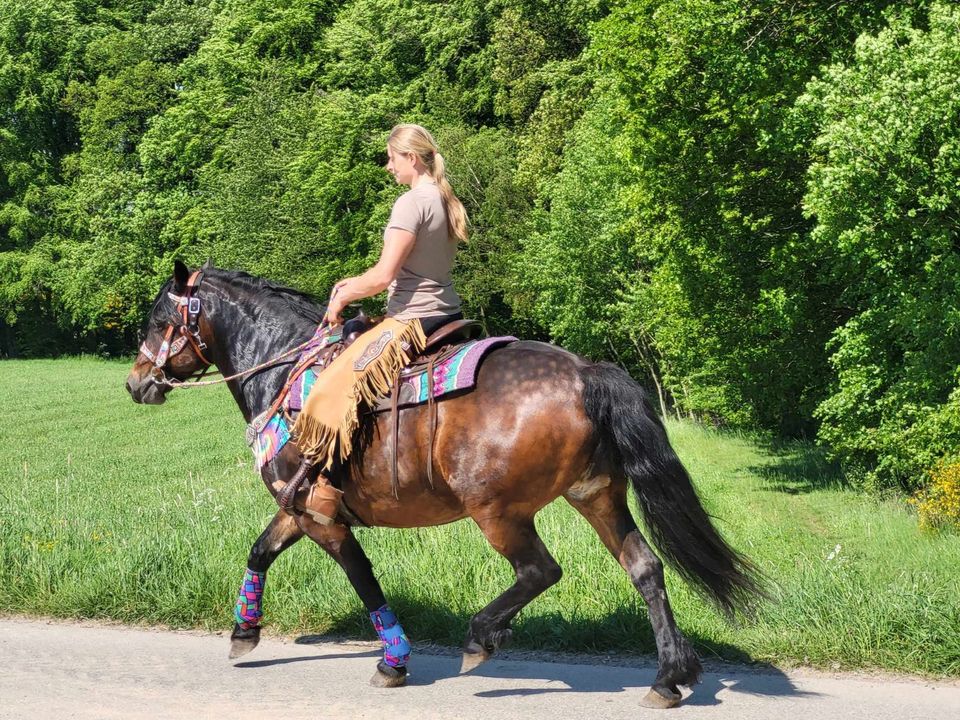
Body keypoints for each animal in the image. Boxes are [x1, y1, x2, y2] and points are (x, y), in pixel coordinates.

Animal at [125, 260, 764, 708]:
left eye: (158, 321)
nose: (136, 383)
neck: (285, 371)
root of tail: (587, 372)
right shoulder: (298, 505)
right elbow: (260, 550)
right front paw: (244, 631)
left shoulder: (321, 516)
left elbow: (362, 578)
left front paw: (394, 661)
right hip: (597, 496)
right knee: (645, 568)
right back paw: (669, 676)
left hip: (499, 511)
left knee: (541, 570)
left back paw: (482, 637)